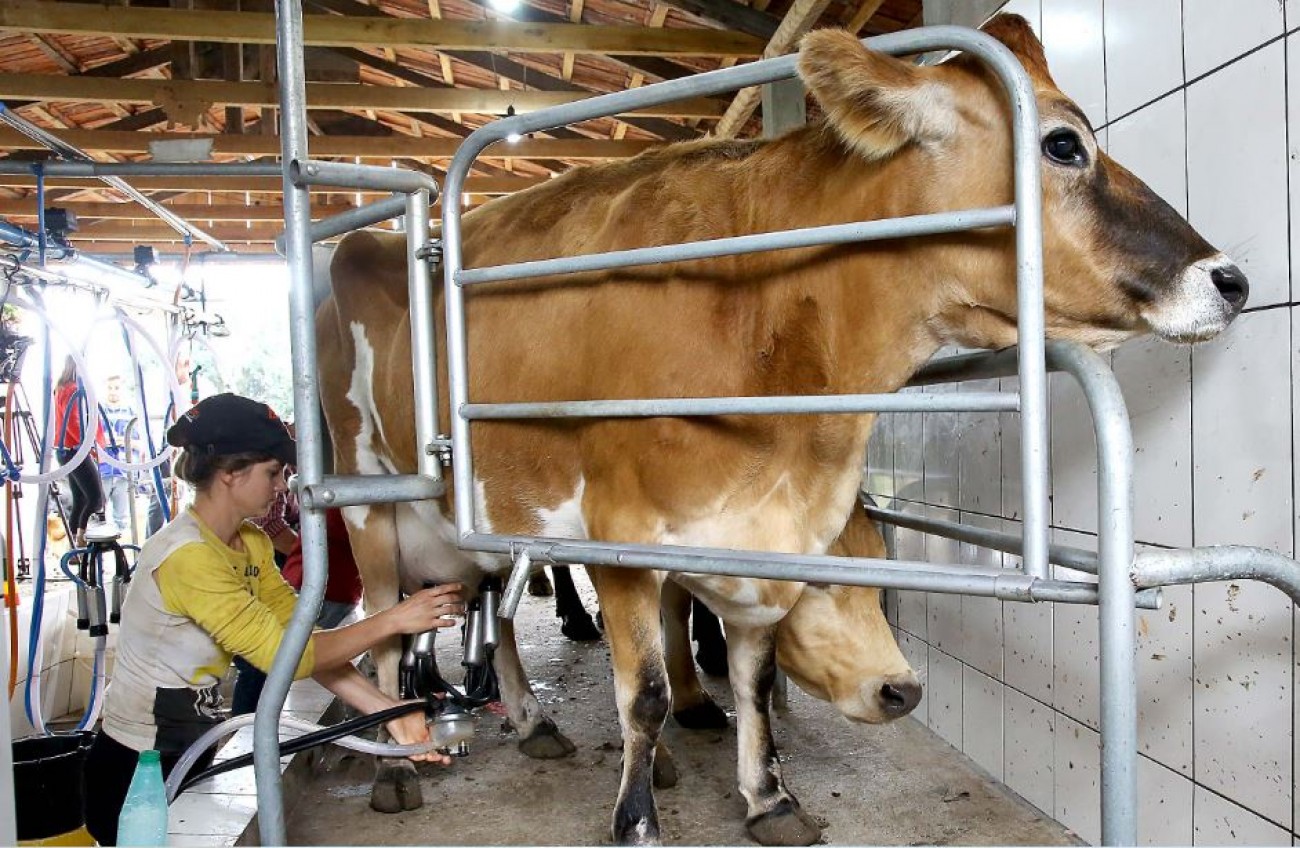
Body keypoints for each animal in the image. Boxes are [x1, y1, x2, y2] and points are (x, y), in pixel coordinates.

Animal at [312, 16, 1237, 842]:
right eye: (1064, 145)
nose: (1229, 279)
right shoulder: (620, 533)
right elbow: (645, 693)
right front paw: (637, 819)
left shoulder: (765, 538)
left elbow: (751, 681)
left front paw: (768, 800)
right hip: (367, 495)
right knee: (385, 624)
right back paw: (394, 759)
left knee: (491, 612)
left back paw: (534, 722)